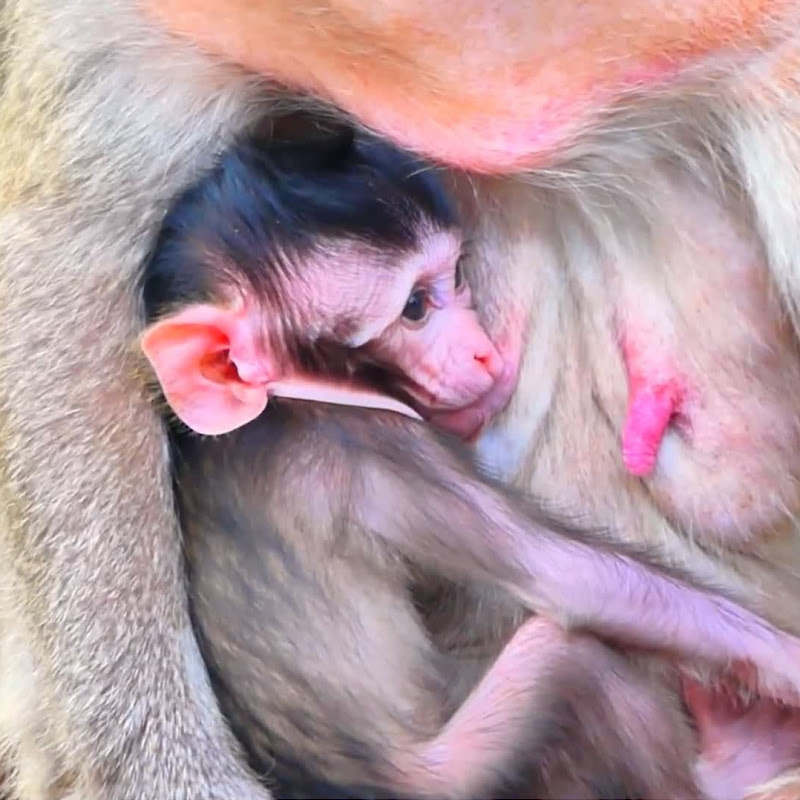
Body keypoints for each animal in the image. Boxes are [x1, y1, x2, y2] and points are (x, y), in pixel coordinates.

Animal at [7, 0, 800, 798]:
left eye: (456, 277)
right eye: (415, 308)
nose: (481, 351)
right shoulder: (381, 453)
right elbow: (573, 578)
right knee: (571, 661)